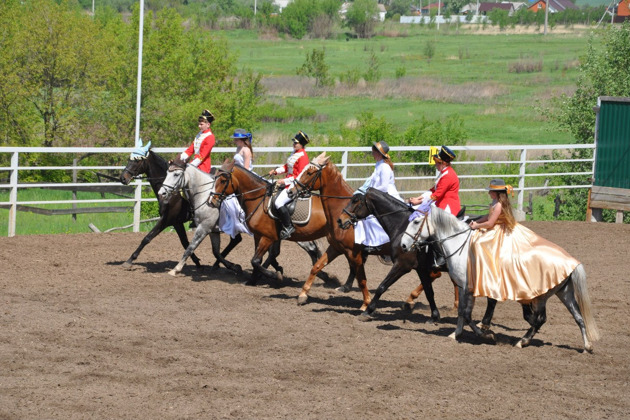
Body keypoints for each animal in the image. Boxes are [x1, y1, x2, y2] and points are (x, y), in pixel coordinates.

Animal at [211, 159, 376, 310]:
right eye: (215, 178)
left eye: (223, 180)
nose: (212, 201)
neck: (259, 197)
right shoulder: (261, 236)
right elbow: (259, 259)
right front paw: (253, 279)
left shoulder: (268, 237)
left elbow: (256, 260)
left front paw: (274, 275)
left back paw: (344, 286)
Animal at [402, 207, 600, 352]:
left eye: (417, 222)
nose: (403, 245)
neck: (461, 246)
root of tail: (571, 261)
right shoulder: (466, 288)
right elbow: (462, 313)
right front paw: (455, 334)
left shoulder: (467, 288)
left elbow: (466, 314)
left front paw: (486, 335)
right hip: (564, 293)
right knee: (578, 317)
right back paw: (587, 346)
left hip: (541, 297)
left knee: (540, 319)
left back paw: (523, 341)